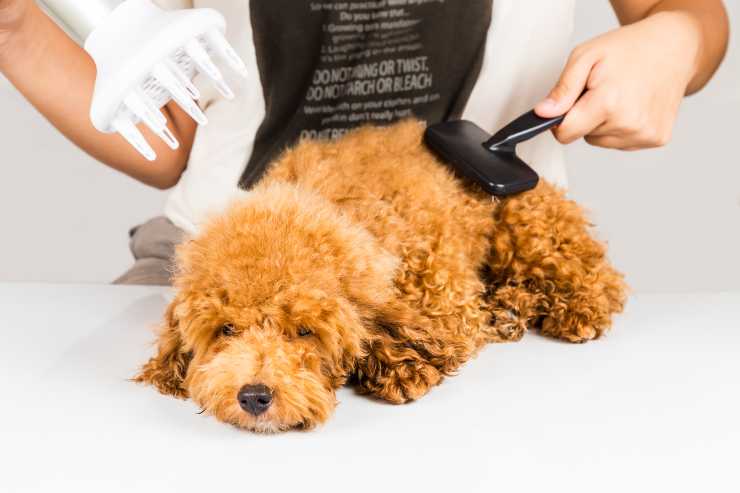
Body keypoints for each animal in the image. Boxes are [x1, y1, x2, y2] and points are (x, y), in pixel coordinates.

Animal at [136, 121, 628, 432]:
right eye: (226, 329)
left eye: (305, 331)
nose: (254, 396)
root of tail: (493, 144)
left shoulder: (446, 303)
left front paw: (398, 368)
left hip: (527, 218)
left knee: (596, 275)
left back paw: (568, 307)